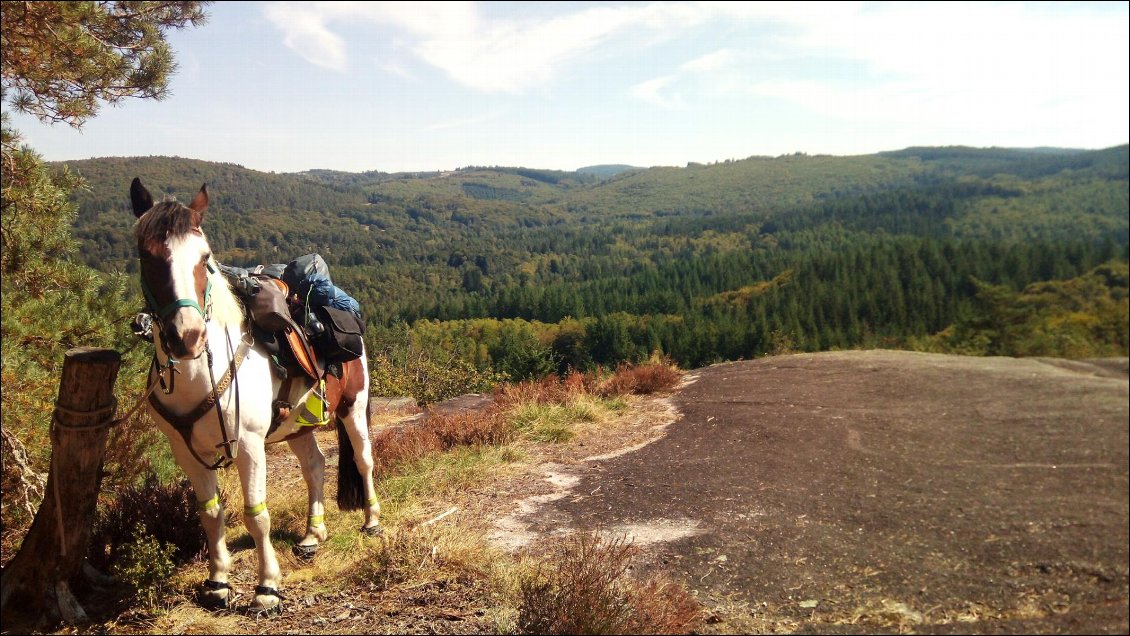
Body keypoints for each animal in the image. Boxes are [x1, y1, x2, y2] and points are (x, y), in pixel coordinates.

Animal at [129, 176, 381, 614]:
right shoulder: (186, 452)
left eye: (204, 258)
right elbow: (210, 514)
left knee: (363, 459)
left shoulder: (248, 444)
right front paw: (218, 583)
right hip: (296, 425)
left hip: (354, 406)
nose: (187, 337)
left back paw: (372, 521)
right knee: (314, 466)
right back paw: (313, 534)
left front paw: (267, 588)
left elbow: (256, 515)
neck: (202, 375)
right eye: (147, 256)